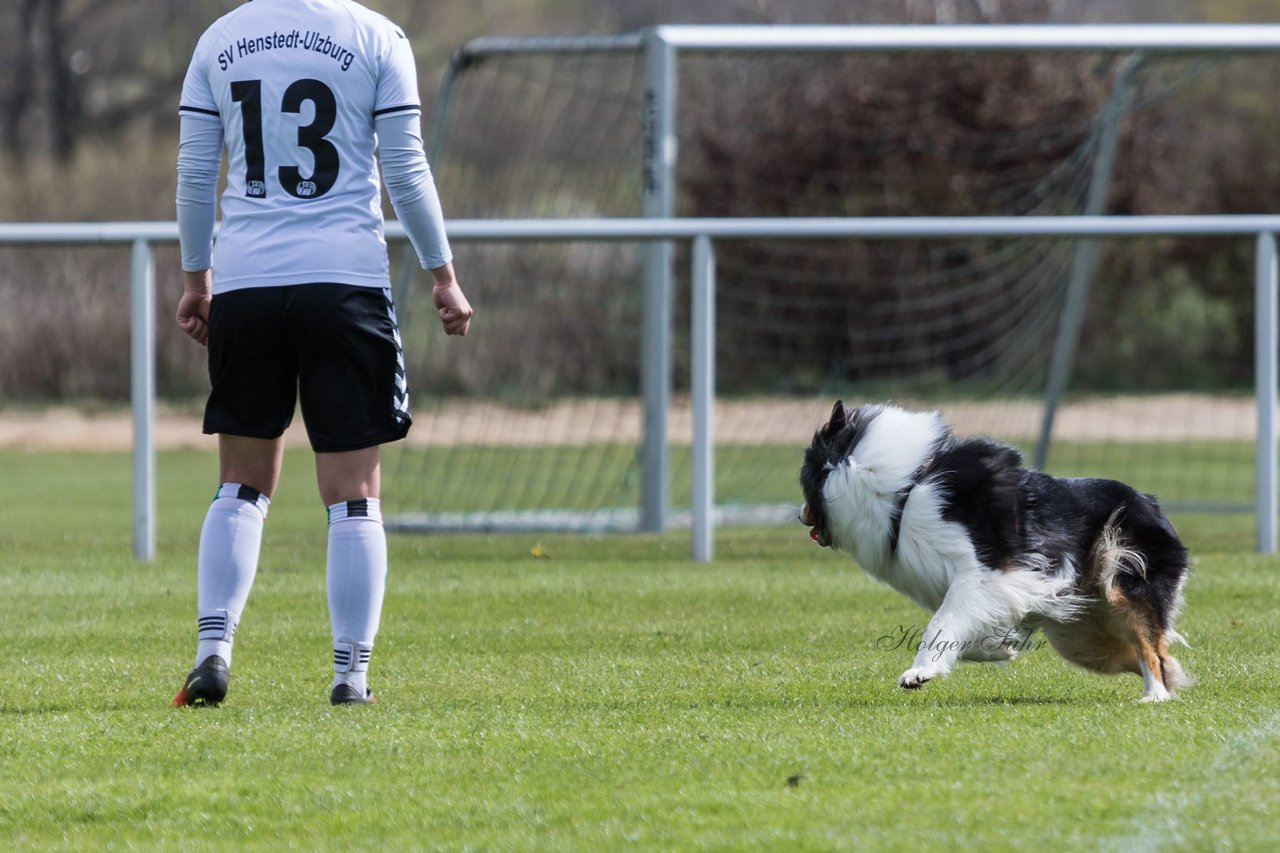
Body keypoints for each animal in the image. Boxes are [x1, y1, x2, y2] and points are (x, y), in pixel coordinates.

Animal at [793, 399, 1192, 696]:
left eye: (805, 479)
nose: (798, 514)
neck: (906, 487)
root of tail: (1152, 503)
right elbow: (969, 629)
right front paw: (998, 648)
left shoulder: (985, 573)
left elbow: (941, 621)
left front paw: (919, 673)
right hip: (1080, 637)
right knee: (1151, 656)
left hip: (1122, 584)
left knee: (1151, 652)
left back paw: (1154, 697)